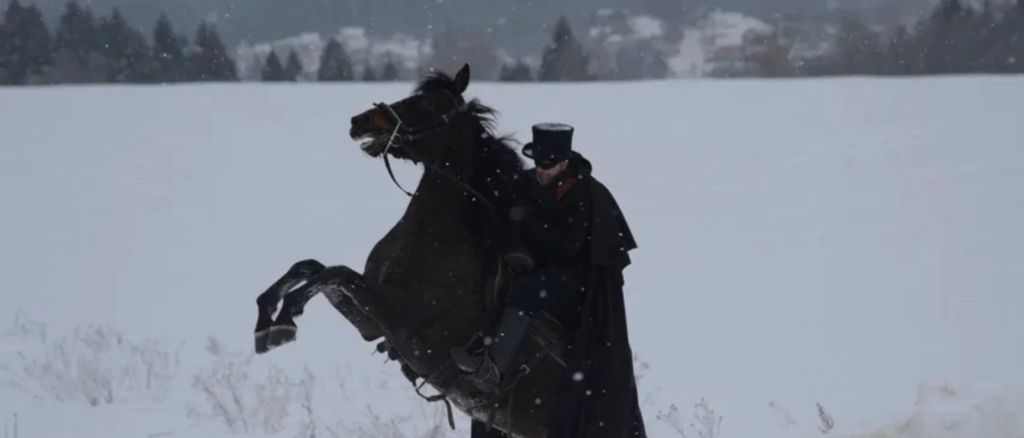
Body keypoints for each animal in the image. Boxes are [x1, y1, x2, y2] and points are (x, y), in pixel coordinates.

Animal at [249, 64, 569, 438]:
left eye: (426, 105)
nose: (361, 121)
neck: (435, 237)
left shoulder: (401, 317)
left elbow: (333, 272)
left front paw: (285, 319)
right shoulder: (371, 323)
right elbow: (312, 268)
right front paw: (267, 317)